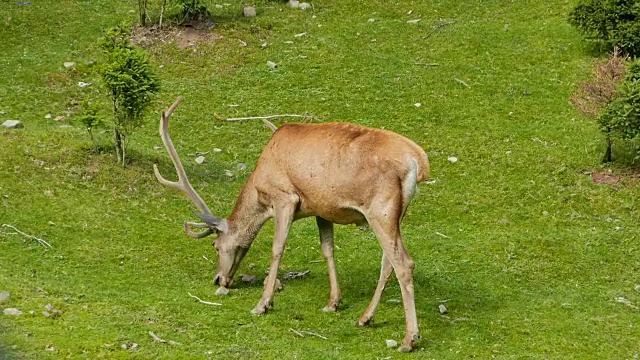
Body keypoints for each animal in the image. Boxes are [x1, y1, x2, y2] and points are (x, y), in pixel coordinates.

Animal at [152, 97, 428, 352]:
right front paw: (333, 302)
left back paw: (409, 339)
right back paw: (366, 317)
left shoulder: (285, 198)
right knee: (388, 263)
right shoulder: (321, 208)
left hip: (380, 209)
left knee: (404, 263)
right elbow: (327, 249)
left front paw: (263, 303)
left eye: (215, 246)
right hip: (397, 214)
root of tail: (418, 162)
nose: (219, 279)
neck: (259, 189)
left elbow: (277, 248)